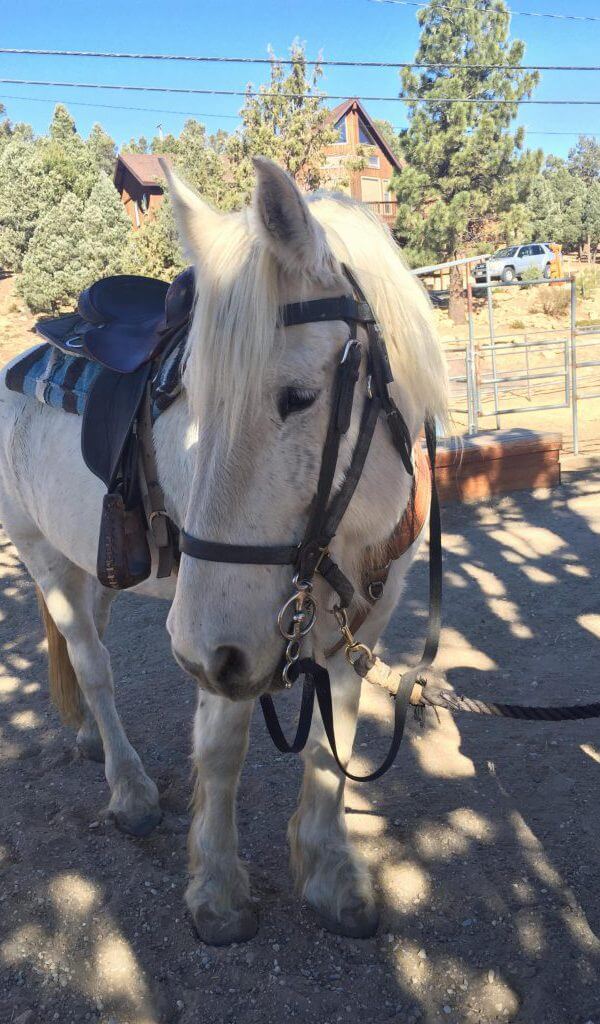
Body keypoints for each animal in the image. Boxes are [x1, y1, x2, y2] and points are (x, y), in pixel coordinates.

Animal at [0, 157, 447, 944]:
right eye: (188, 401)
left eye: (298, 397)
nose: (200, 653)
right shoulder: (226, 641)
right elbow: (223, 747)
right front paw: (216, 888)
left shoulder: (362, 618)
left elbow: (333, 739)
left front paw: (330, 874)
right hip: (40, 553)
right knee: (92, 661)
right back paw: (129, 788)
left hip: (99, 563)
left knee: (93, 641)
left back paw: (88, 738)